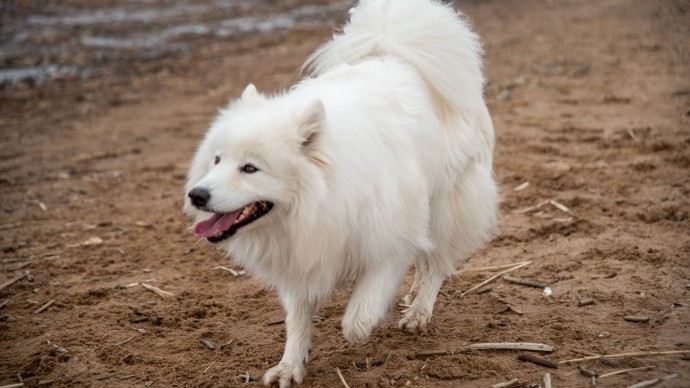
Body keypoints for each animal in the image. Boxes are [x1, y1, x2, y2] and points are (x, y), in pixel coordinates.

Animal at [183, 0, 494, 384]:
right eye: (216, 159)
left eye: (250, 168)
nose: (196, 195)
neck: (320, 198)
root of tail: (397, 52)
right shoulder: (300, 257)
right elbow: (297, 320)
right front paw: (289, 367)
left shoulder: (392, 235)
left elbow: (357, 315)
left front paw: (360, 327)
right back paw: (412, 298)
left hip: (446, 204)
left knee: (437, 262)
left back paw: (419, 312)